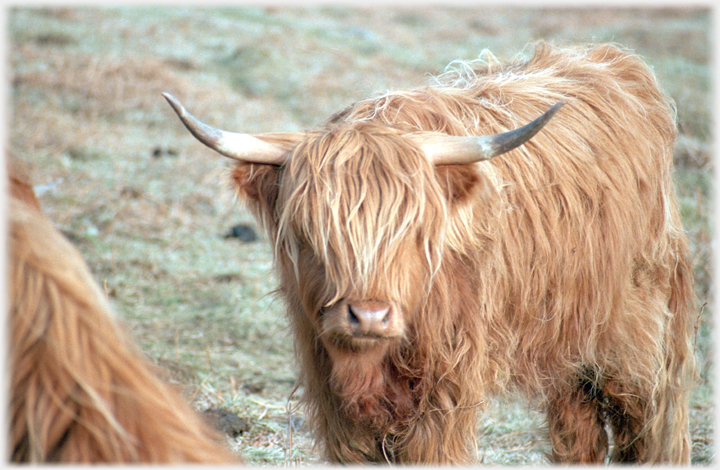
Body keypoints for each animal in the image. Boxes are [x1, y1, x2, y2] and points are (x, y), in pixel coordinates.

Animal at [165, 43, 696, 462]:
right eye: (309, 231)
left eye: (414, 231)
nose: (369, 316)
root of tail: (610, 60)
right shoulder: (334, 402)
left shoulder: (444, 397)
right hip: (568, 347)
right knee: (579, 433)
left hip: (640, 340)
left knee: (652, 426)